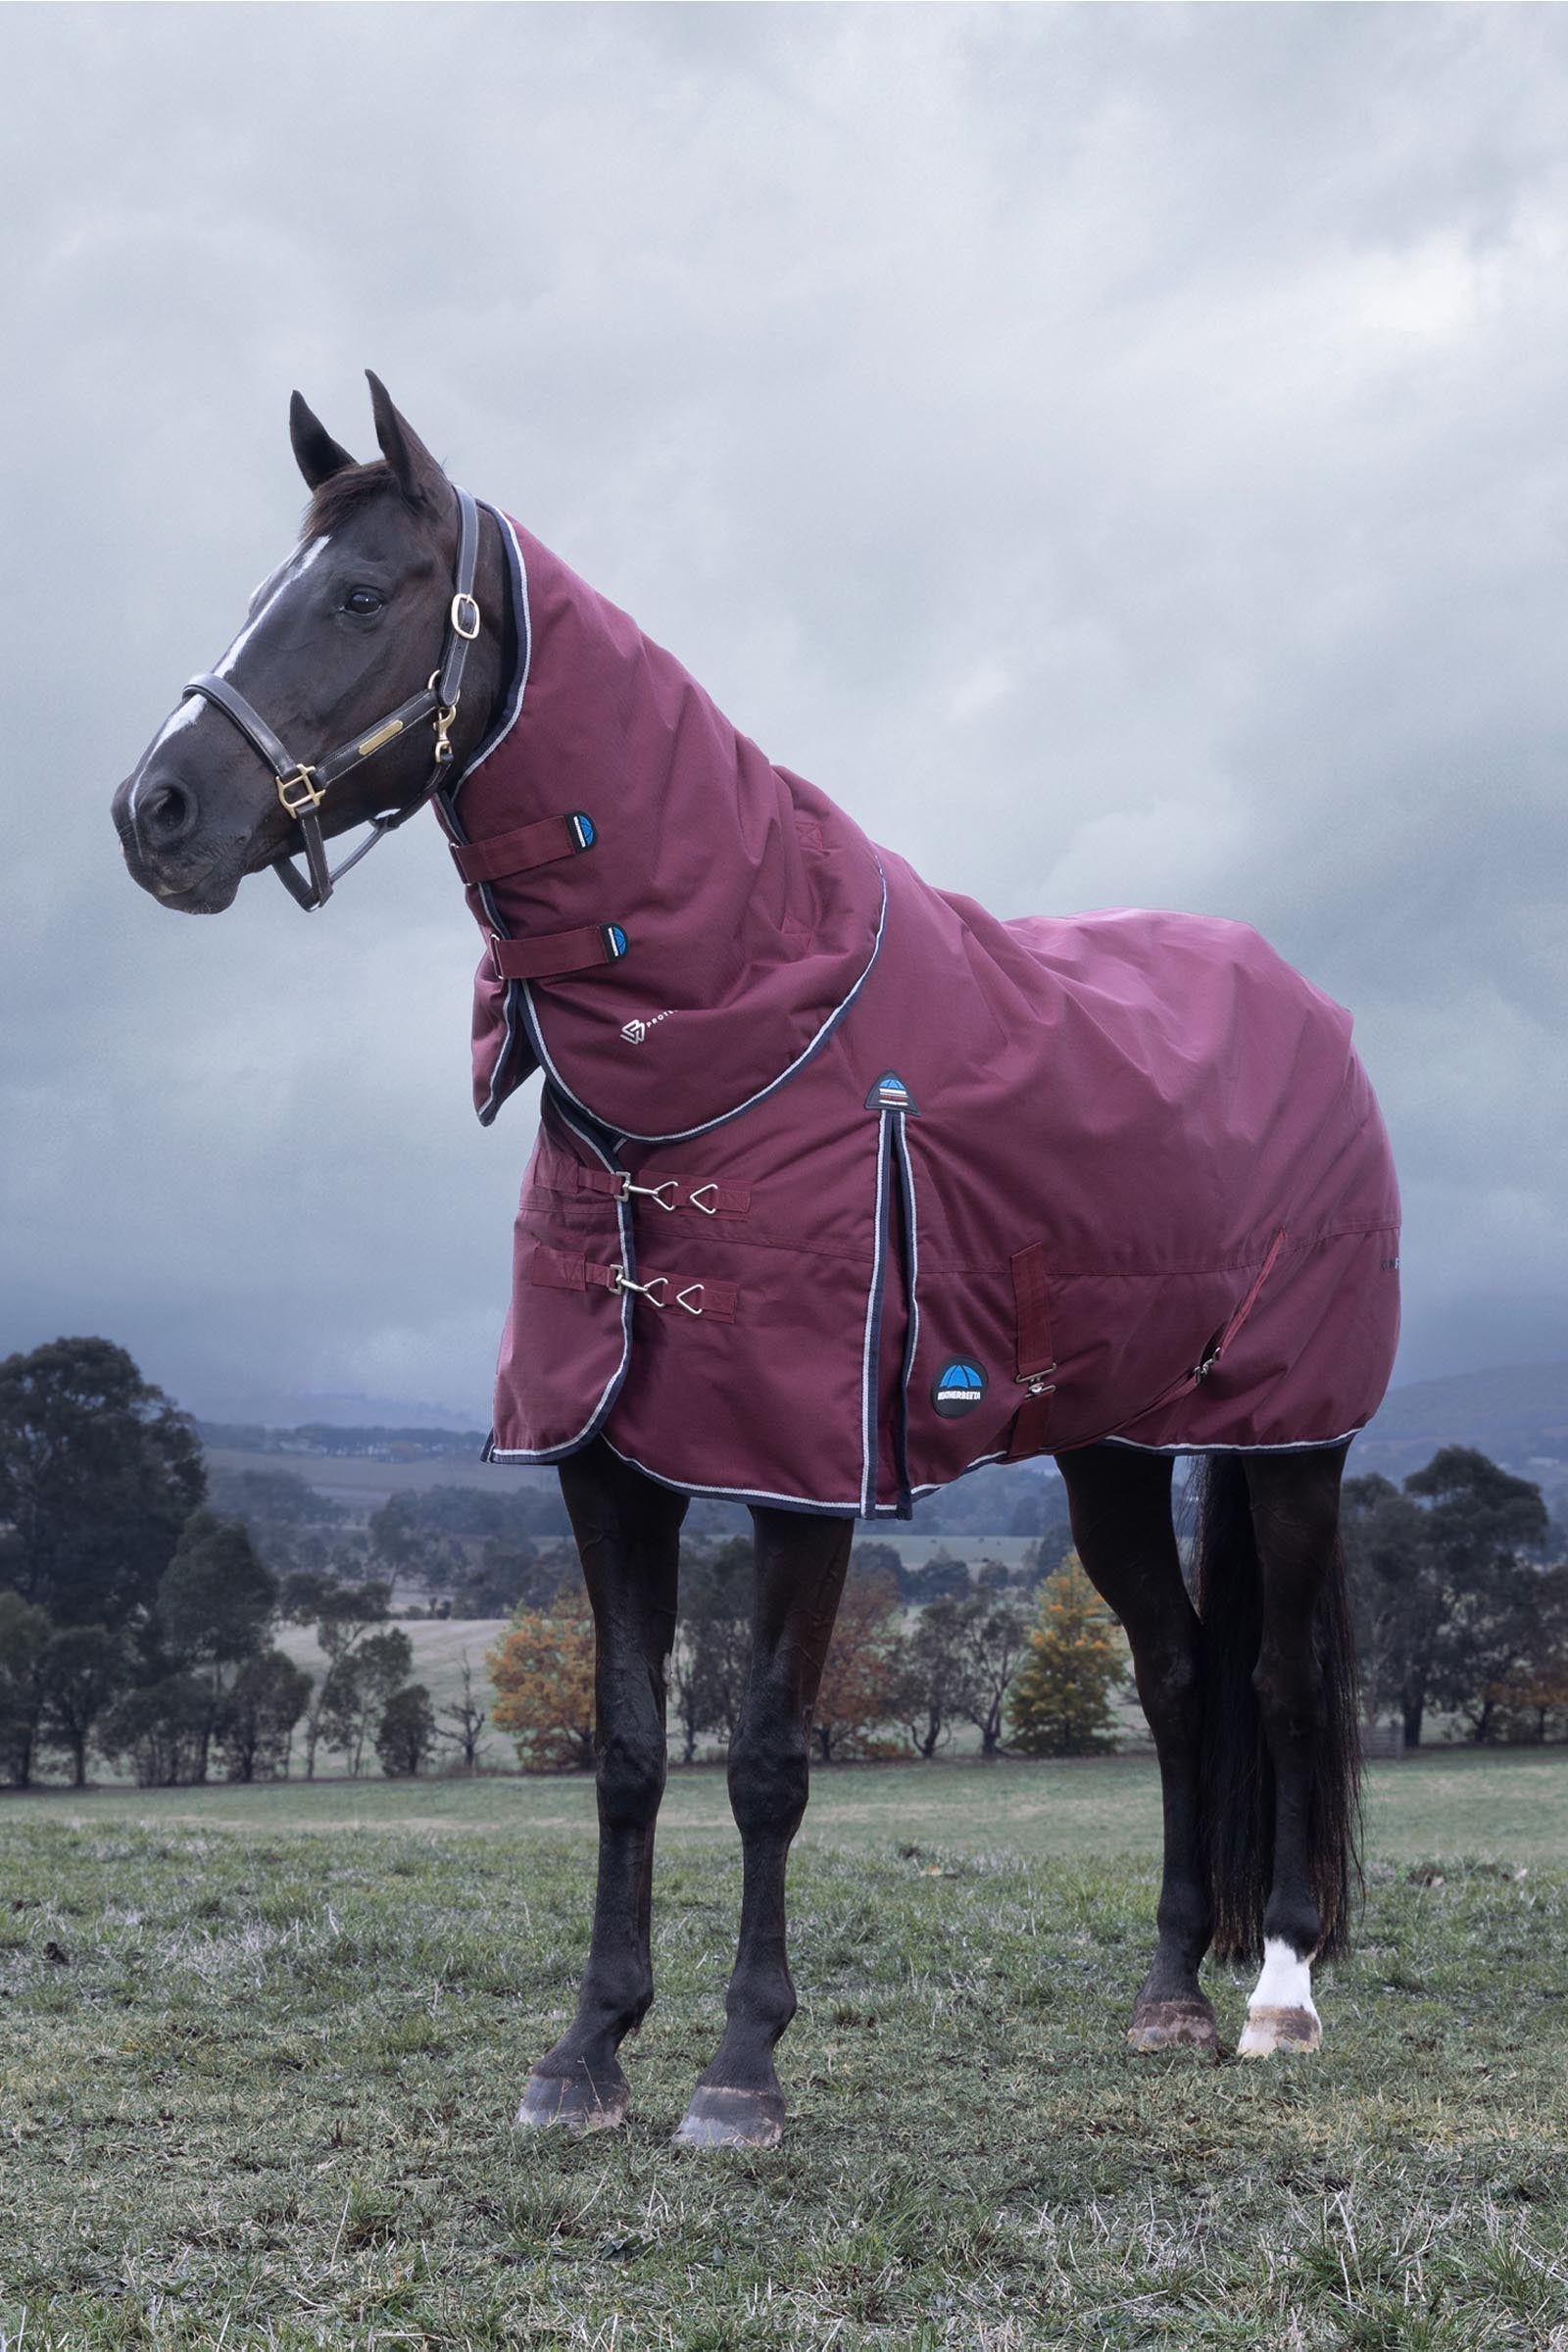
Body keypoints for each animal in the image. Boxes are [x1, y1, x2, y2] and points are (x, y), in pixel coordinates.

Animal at [112, 375, 1399, 2149]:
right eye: (266, 590)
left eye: (362, 597)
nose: (153, 814)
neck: (723, 1032)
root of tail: (1301, 1008)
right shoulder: (606, 1464)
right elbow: (628, 1752)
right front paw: (586, 2051)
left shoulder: (802, 1473)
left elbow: (775, 1758)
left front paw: (739, 2072)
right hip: (1114, 1451)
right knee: (1181, 1677)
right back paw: (1165, 2000)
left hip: (1290, 1438)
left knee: (1274, 1681)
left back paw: (1275, 1994)